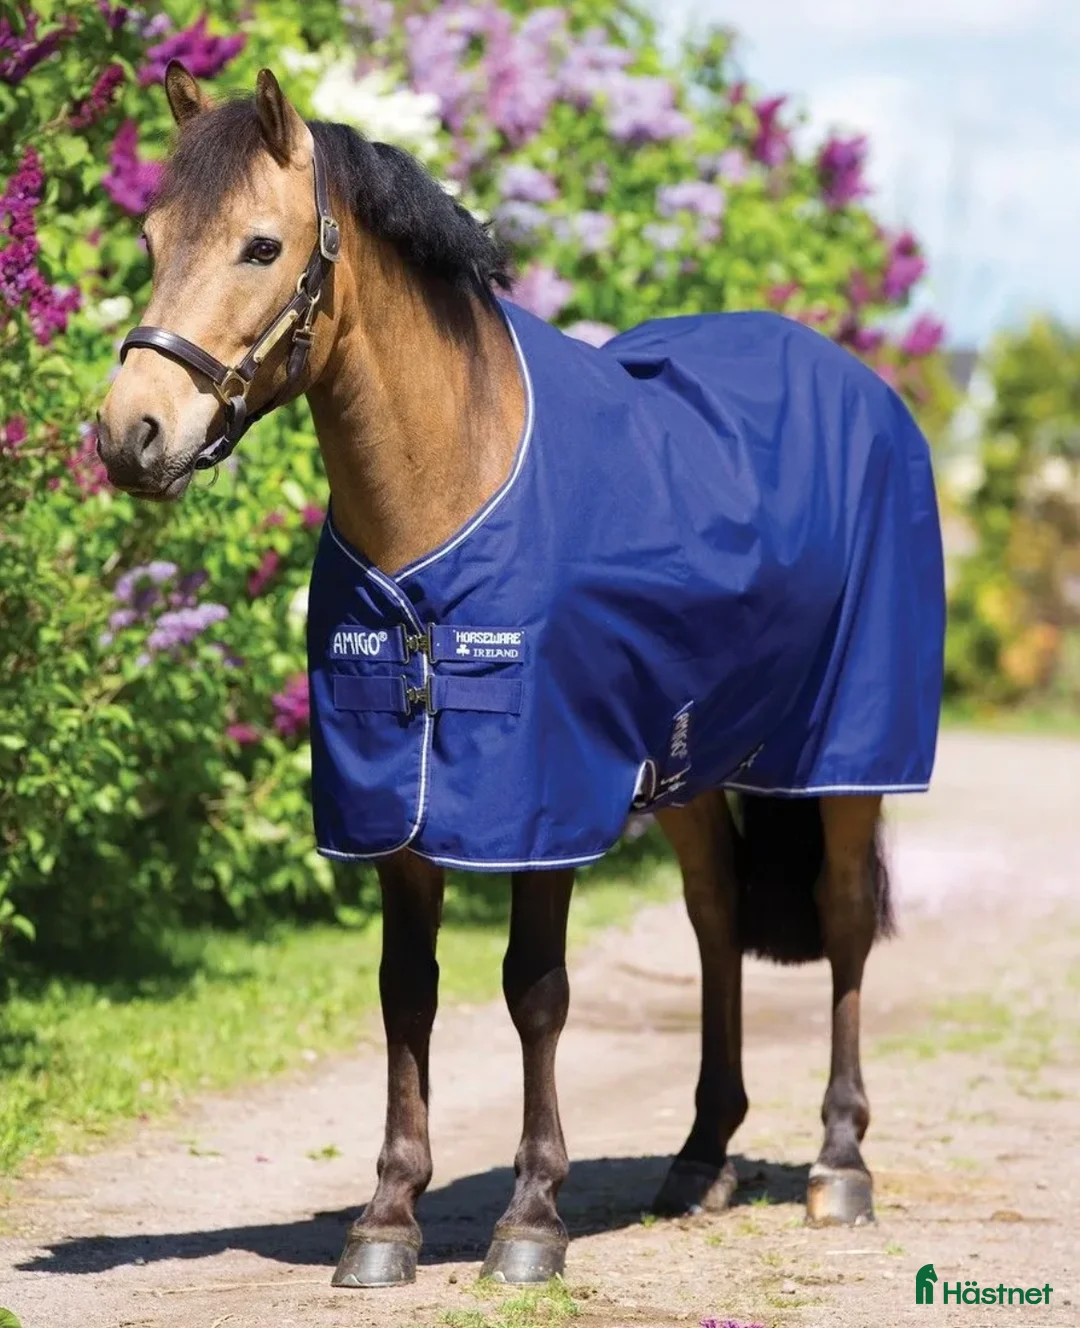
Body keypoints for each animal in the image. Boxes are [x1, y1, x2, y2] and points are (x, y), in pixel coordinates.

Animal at [98, 62, 945, 1289]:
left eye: (260, 246)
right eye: (152, 239)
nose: (132, 433)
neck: (450, 486)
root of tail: (862, 387)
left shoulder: (540, 796)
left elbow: (535, 990)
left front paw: (532, 1217)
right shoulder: (395, 799)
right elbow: (407, 991)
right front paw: (386, 1217)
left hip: (846, 756)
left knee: (838, 921)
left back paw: (839, 1163)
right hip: (683, 765)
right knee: (716, 917)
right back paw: (700, 1157)